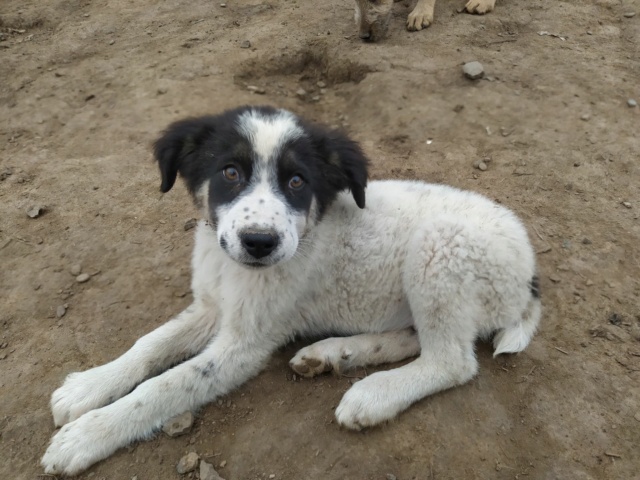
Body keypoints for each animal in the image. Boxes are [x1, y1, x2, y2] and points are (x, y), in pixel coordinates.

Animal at [41, 106, 540, 476]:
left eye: (297, 181)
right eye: (229, 172)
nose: (259, 241)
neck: (232, 268)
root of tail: (530, 276)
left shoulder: (243, 346)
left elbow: (166, 385)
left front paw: (88, 434)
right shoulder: (211, 308)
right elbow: (149, 345)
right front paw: (89, 386)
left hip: (440, 250)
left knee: (452, 360)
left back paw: (373, 395)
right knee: (413, 338)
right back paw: (334, 354)